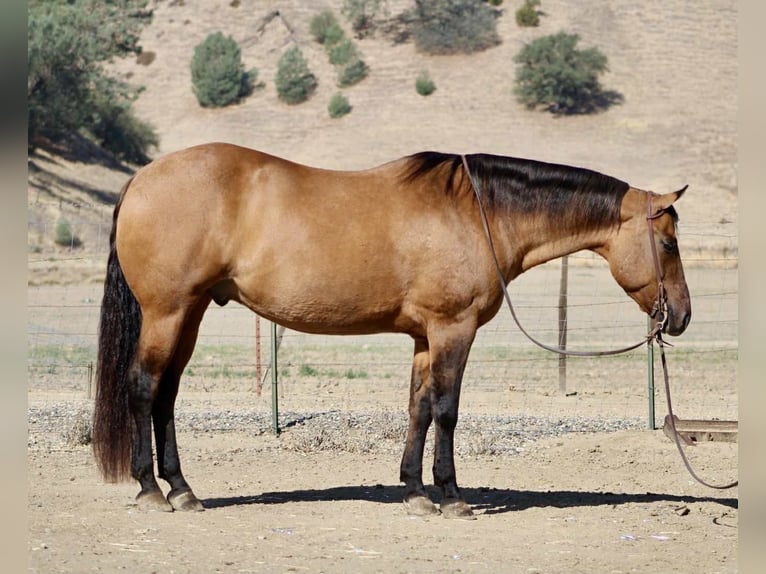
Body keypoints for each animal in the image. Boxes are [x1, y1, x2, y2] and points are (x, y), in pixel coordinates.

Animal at [92, 143, 691, 519]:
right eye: (667, 243)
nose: (681, 317)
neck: (477, 214)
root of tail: (142, 178)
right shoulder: (453, 330)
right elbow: (447, 411)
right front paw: (452, 497)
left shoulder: (425, 337)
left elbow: (418, 409)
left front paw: (415, 492)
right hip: (168, 312)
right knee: (144, 387)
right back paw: (151, 489)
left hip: (189, 314)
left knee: (166, 395)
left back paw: (182, 489)